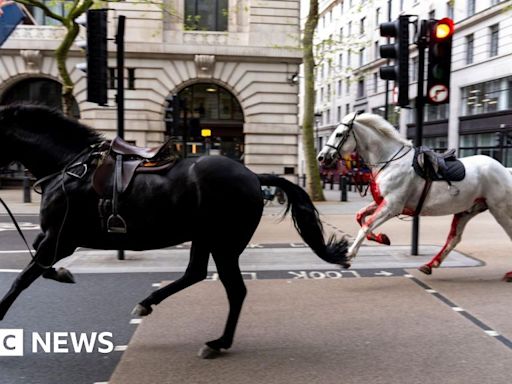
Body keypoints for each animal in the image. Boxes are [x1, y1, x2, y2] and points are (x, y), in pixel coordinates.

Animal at [0, 105, 348, 356]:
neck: (69, 167)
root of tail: (253, 175)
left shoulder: (61, 239)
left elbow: (23, 278)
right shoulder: (53, 239)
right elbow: (36, 264)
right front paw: (63, 273)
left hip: (223, 243)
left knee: (235, 289)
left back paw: (217, 343)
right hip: (206, 238)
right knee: (196, 273)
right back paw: (150, 303)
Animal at [318, 110, 512, 280]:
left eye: (339, 134)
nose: (321, 157)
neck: (390, 161)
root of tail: (505, 169)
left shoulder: (392, 206)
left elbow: (366, 225)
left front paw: (348, 255)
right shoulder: (383, 202)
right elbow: (361, 217)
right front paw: (381, 238)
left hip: (500, 210)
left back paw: (509, 274)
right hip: (468, 210)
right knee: (454, 238)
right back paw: (430, 265)